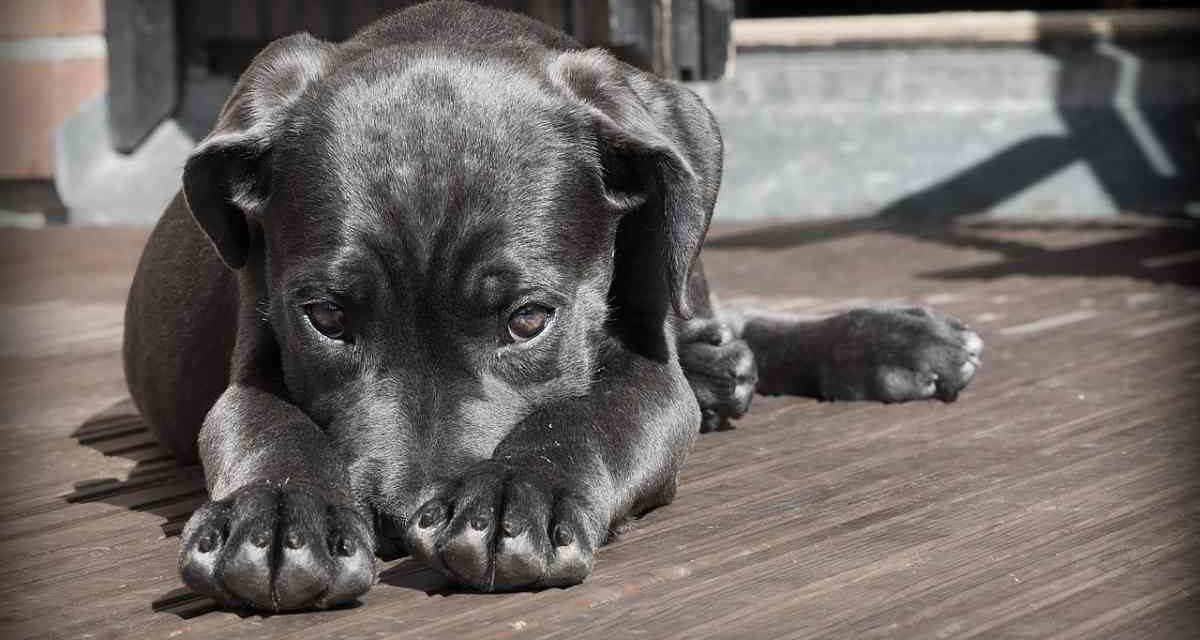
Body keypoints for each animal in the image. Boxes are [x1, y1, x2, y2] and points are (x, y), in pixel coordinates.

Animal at [124, 0, 984, 609]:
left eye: (529, 320)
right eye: (326, 319)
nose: (400, 520)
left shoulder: (646, 372)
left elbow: (588, 414)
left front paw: (517, 493)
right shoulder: (253, 359)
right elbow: (267, 425)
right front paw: (277, 516)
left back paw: (886, 342)